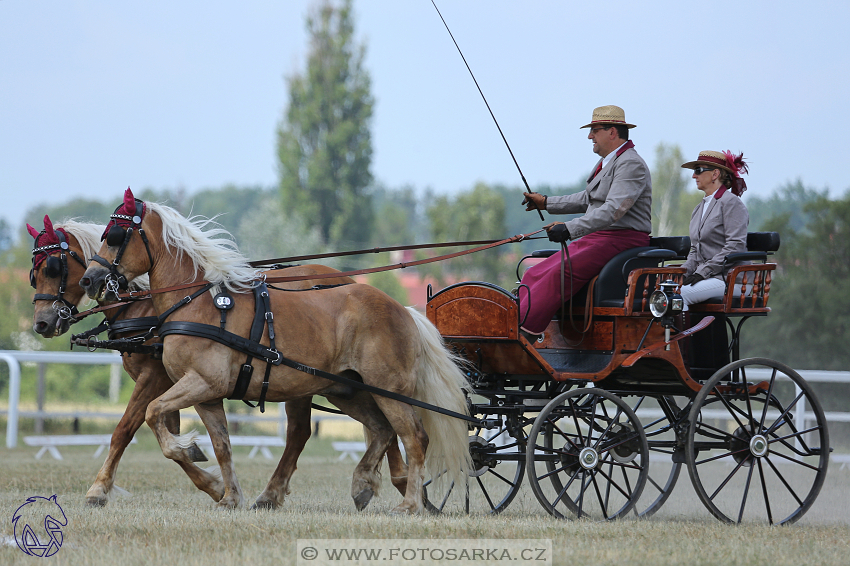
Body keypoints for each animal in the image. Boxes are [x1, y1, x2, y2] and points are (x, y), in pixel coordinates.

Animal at [29, 213, 408, 510]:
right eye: (34, 274)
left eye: (53, 268)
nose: (42, 324)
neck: (151, 304)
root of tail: (347, 281)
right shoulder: (176, 381)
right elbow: (174, 434)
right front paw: (209, 478)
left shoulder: (156, 378)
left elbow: (125, 429)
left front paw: (99, 490)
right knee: (360, 425)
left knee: (320, 429)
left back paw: (398, 481)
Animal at [79, 190, 470, 516]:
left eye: (116, 235)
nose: (90, 279)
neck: (197, 303)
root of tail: (403, 310)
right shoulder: (207, 394)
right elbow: (221, 445)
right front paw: (228, 495)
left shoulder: (201, 382)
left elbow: (151, 414)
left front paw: (186, 449)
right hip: (346, 389)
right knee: (380, 429)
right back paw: (361, 484)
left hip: (388, 389)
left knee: (413, 437)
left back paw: (410, 503)